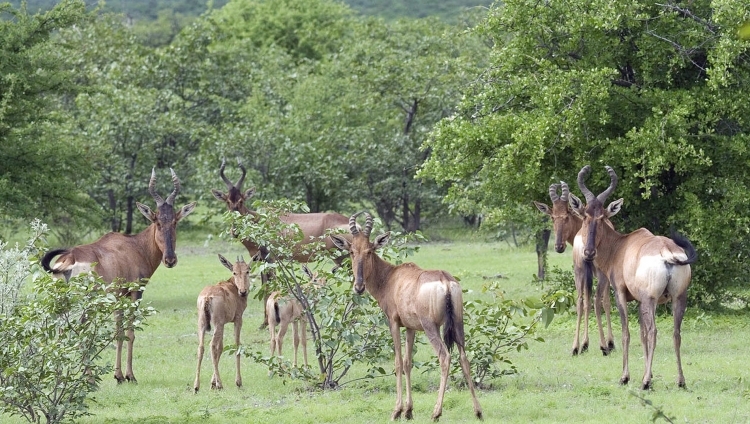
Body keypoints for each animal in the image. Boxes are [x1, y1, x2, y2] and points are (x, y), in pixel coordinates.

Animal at [41, 167, 197, 382]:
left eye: (175, 222)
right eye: (156, 221)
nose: (170, 260)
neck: (134, 246)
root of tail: (69, 259)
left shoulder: (118, 297)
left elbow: (119, 331)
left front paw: (119, 375)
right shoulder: (134, 293)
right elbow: (128, 332)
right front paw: (127, 376)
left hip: (61, 303)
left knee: (60, 330)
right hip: (86, 304)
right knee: (78, 330)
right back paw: (88, 377)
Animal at [195, 253, 251, 392]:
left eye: (247, 270)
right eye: (234, 272)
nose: (243, 291)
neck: (231, 286)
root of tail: (207, 297)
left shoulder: (224, 324)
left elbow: (220, 348)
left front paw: (212, 383)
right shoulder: (238, 320)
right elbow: (236, 345)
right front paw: (238, 382)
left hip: (203, 324)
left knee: (201, 347)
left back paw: (196, 386)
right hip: (217, 324)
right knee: (212, 345)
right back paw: (220, 384)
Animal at [332, 212, 484, 420]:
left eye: (369, 251)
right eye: (352, 251)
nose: (359, 286)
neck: (391, 277)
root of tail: (444, 280)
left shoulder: (394, 322)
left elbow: (397, 363)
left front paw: (396, 411)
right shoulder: (411, 328)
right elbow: (407, 363)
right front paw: (408, 411)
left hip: (431, 327)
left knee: (444, 357)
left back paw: (436, 413)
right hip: (459, 325)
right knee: (464, 358)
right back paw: (478, 411)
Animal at [536, 181, 620, 354]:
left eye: (566, 215)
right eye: (553, 217)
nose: (559, 247)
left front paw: (586, 344)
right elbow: (606, 302)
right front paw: (610, 342)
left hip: (579, 273)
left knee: (581, 302)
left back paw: (577, 347)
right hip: (597, 275)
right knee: (595, 301)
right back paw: (599, 345)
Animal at [576, 166, 700, 390]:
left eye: (602, 217)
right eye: (585, 216)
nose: (588, 252)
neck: (621, 246)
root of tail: (667, 251)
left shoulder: (621, 294)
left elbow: (627, 334)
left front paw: (626, 377)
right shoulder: (640, 301)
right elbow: (642, 336)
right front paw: (646, 373)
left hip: (651, 299)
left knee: (654, 332)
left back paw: (645, 383)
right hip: (678, 298)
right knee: (675, 333)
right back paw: (680, 381)